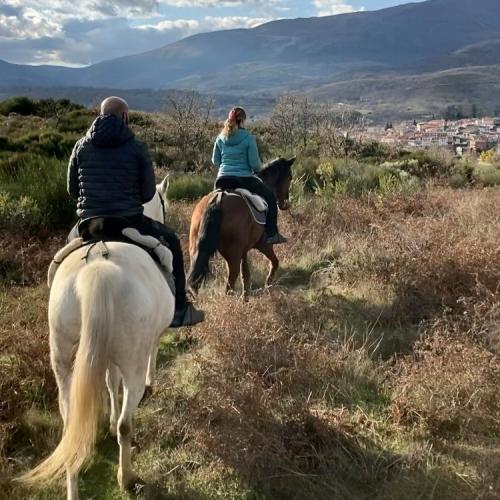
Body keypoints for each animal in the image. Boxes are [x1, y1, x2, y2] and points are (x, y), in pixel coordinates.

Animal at [20, 176, 174, 496]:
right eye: (164, 203)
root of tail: (98, 268)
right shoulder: (147, 342)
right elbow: (146, 358)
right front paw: (149, 384)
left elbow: (108, 381)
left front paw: (110, 419)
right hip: (132, 362)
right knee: (128, 423)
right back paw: (126, 478)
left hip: (64, 359)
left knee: (70, 428)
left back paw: (72, 489)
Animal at [189, 158, 294, 294]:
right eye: (290, 177)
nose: (284, 203)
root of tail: (217, 199)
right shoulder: (263, 245)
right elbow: (274, 262)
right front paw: (268, 285)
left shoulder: (243, 250)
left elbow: (245, 273)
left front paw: (246, 295)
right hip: (232, 252)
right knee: (231, 280)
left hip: (197, 250)